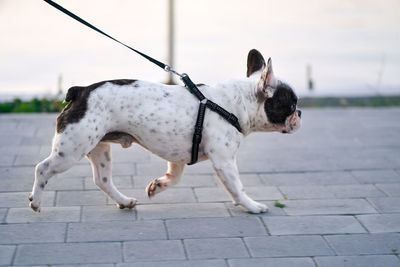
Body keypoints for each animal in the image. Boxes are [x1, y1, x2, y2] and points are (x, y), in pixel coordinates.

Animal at [28, 49, 300, 215]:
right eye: (291, 105)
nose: (300, 114)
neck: (235, 104)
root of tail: (80, 91)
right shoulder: (224, 161)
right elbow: (236, 186)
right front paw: (251, 206)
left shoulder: (178, 155)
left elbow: (175, 177)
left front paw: (157, 186)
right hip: (71, 150)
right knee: (42, 168)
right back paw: (36, 201)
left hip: (98, 148)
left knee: (102, 180)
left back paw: (124, 201)